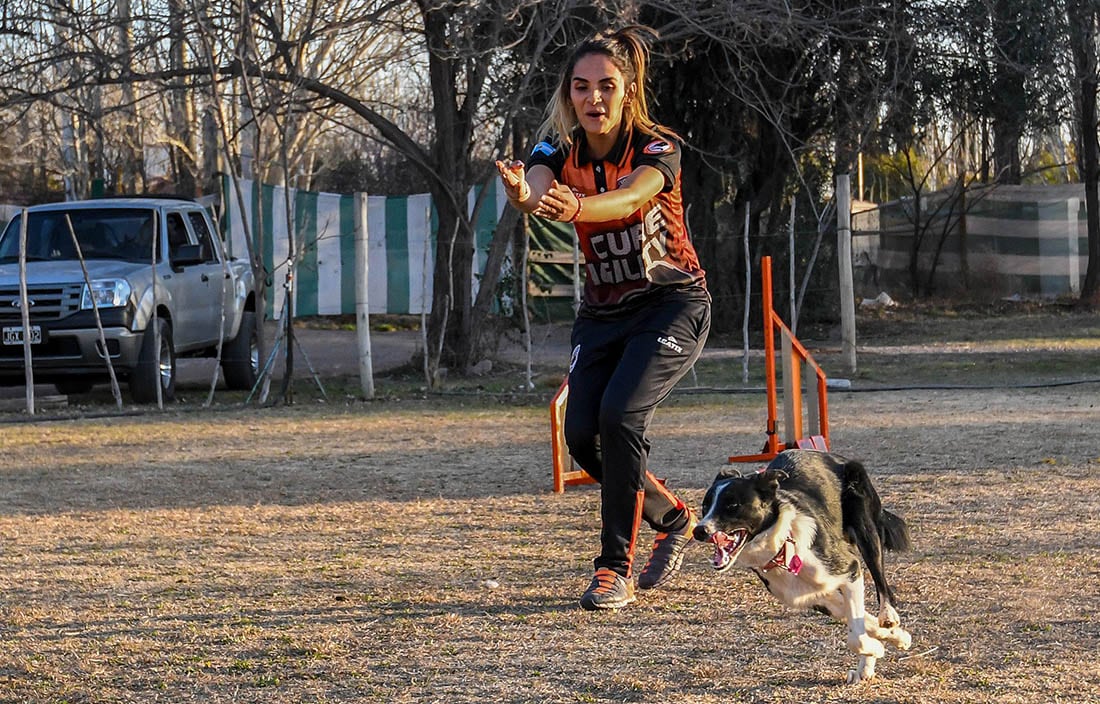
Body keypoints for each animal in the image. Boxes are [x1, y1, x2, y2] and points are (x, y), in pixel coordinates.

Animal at [695, 448, 910, 686]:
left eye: (732, 505)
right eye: (705, 506)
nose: (698, 530)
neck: (782, 546)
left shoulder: (849, 569)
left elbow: (856, 636)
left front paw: (882, 644)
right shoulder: (813, 596)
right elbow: (859, 621)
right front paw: (888, 641)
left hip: (865, 527)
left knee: (882, 582)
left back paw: (888, 615)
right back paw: (867, 665)